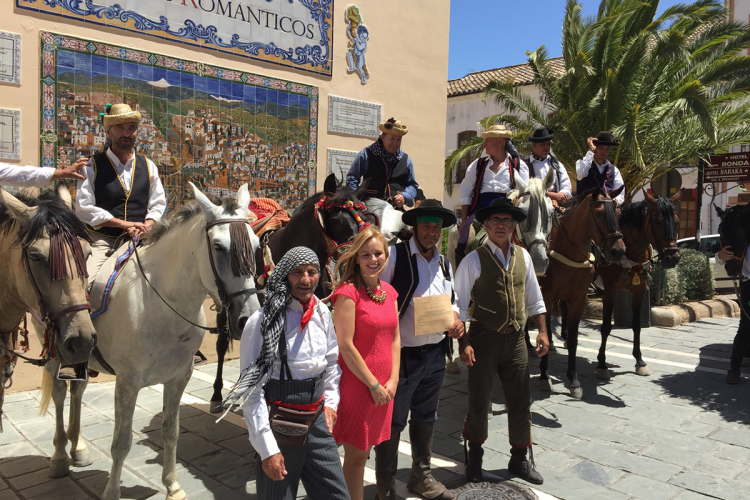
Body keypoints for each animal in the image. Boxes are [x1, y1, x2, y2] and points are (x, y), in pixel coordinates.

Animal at [38, 184, 262, 500]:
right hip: (55, 354)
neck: (162, 302)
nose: (248, 318)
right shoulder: (127, 383)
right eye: (218, 247)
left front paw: (173, 486)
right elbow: (121, 441)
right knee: (59, 393)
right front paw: (112, 492)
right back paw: (60, 457)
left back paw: (78, 447)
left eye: (256, 246)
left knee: (78, 390)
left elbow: (171, 431)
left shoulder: (178, 378)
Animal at [540, 188, 628, 398]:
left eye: (618, 214)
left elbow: (573, 340)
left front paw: (574, 380)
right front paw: (544, 376)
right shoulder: (546, 297)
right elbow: (544, 332)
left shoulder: (578, 299)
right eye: (599, 214)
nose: (618, 251)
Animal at [596, 193, 684, 380]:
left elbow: (636, 325)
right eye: (657, 221)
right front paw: (601, 363)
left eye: (677, 221)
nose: (672, 258)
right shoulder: (609, 293)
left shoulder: (639, 291)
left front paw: (640, 361)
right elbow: (606, 327)